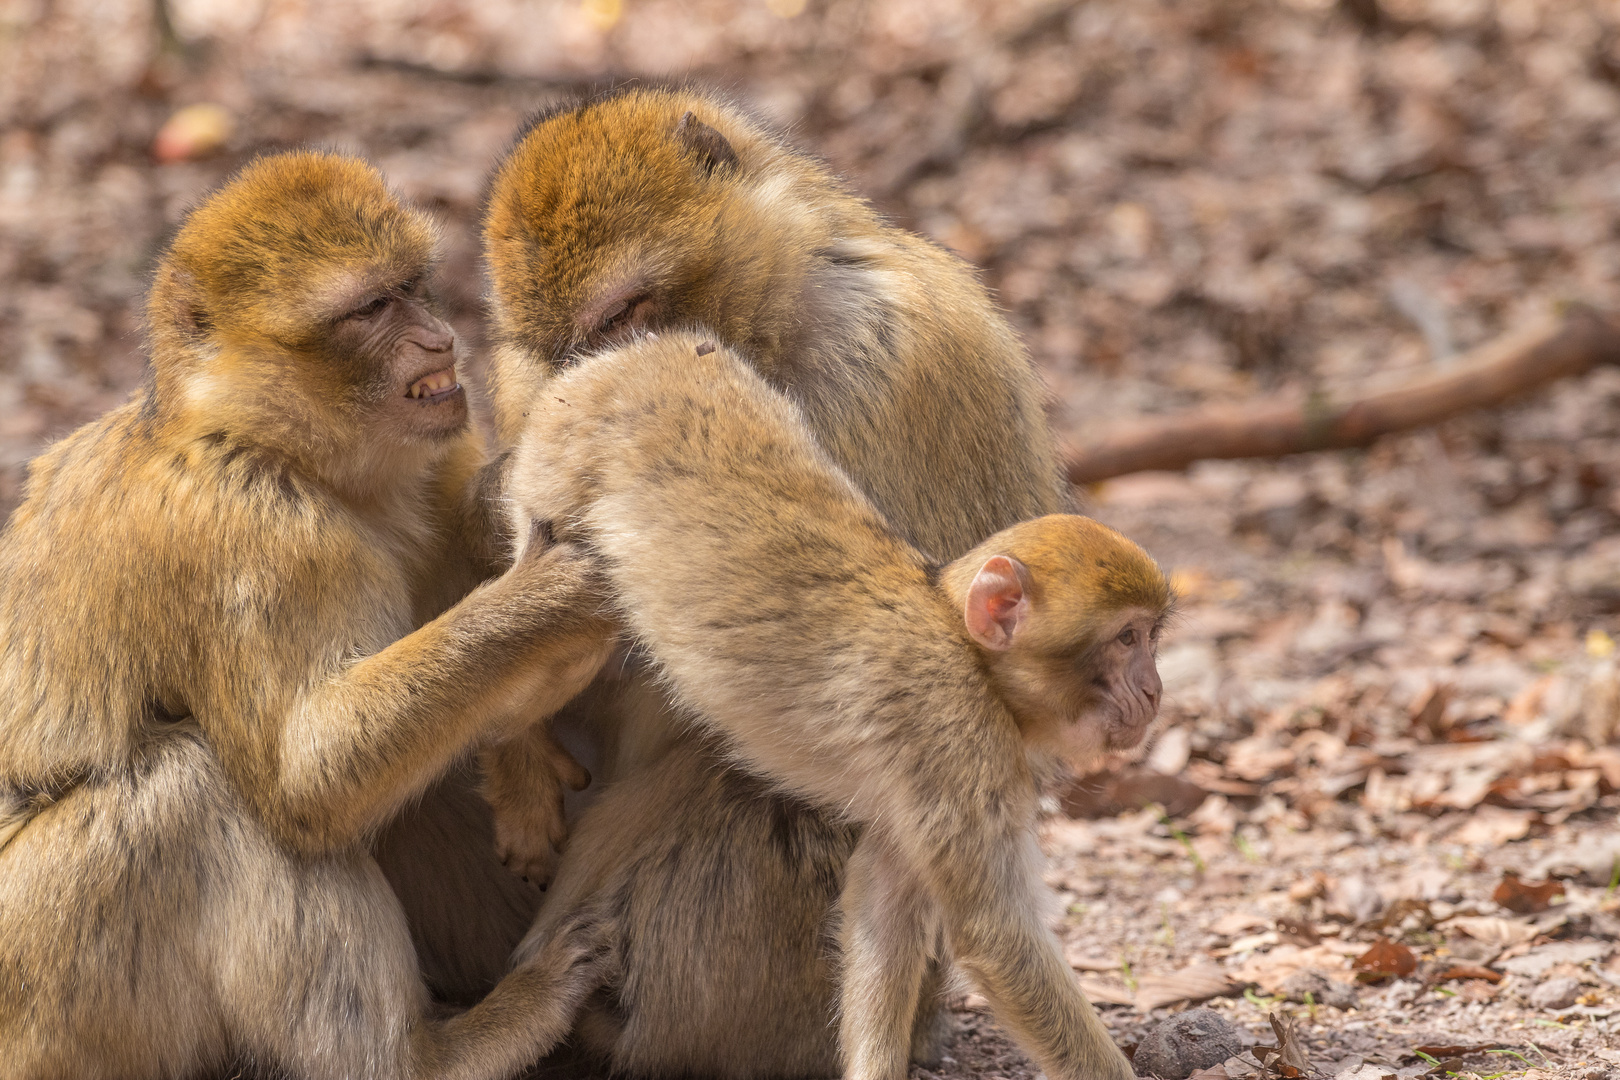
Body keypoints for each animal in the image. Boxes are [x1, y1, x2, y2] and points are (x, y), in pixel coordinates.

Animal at [0, 153, 615, 1080]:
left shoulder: (430, 468)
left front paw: (520, 753)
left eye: (414, 286)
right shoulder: (256, 537)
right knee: (194, 793)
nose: (440, 339)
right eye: (370, 309)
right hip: (41, 984)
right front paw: (552, 602)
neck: (278, 449)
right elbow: (309, 779)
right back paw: (429, 1054)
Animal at [498, 333, 1172, 1075]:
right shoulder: (953, 737)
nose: (1153, 689)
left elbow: (886, 897)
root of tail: (638, 354)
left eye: (1151, 637)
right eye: (1126, 638)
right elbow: (995, 936)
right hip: (554, 477)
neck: (967, 653)